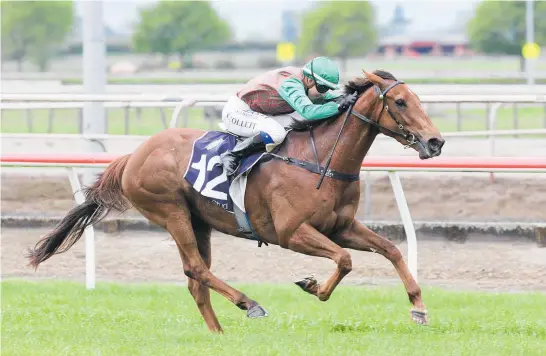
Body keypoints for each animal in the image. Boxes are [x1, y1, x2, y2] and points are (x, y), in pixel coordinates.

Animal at [25, 69, 442, 334]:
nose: (436, 141)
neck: (321, 158)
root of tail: (133, 155)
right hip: (172, 211)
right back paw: (249, 303)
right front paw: (313, 286)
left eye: (418, 99)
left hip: (199, 222)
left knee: (195, 280)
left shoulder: (341, 227)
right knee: (196, 269)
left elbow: (391, 249)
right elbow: (344, 260)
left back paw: (218, 334)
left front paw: (418, 308)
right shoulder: (291, 233)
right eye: (400, 102)